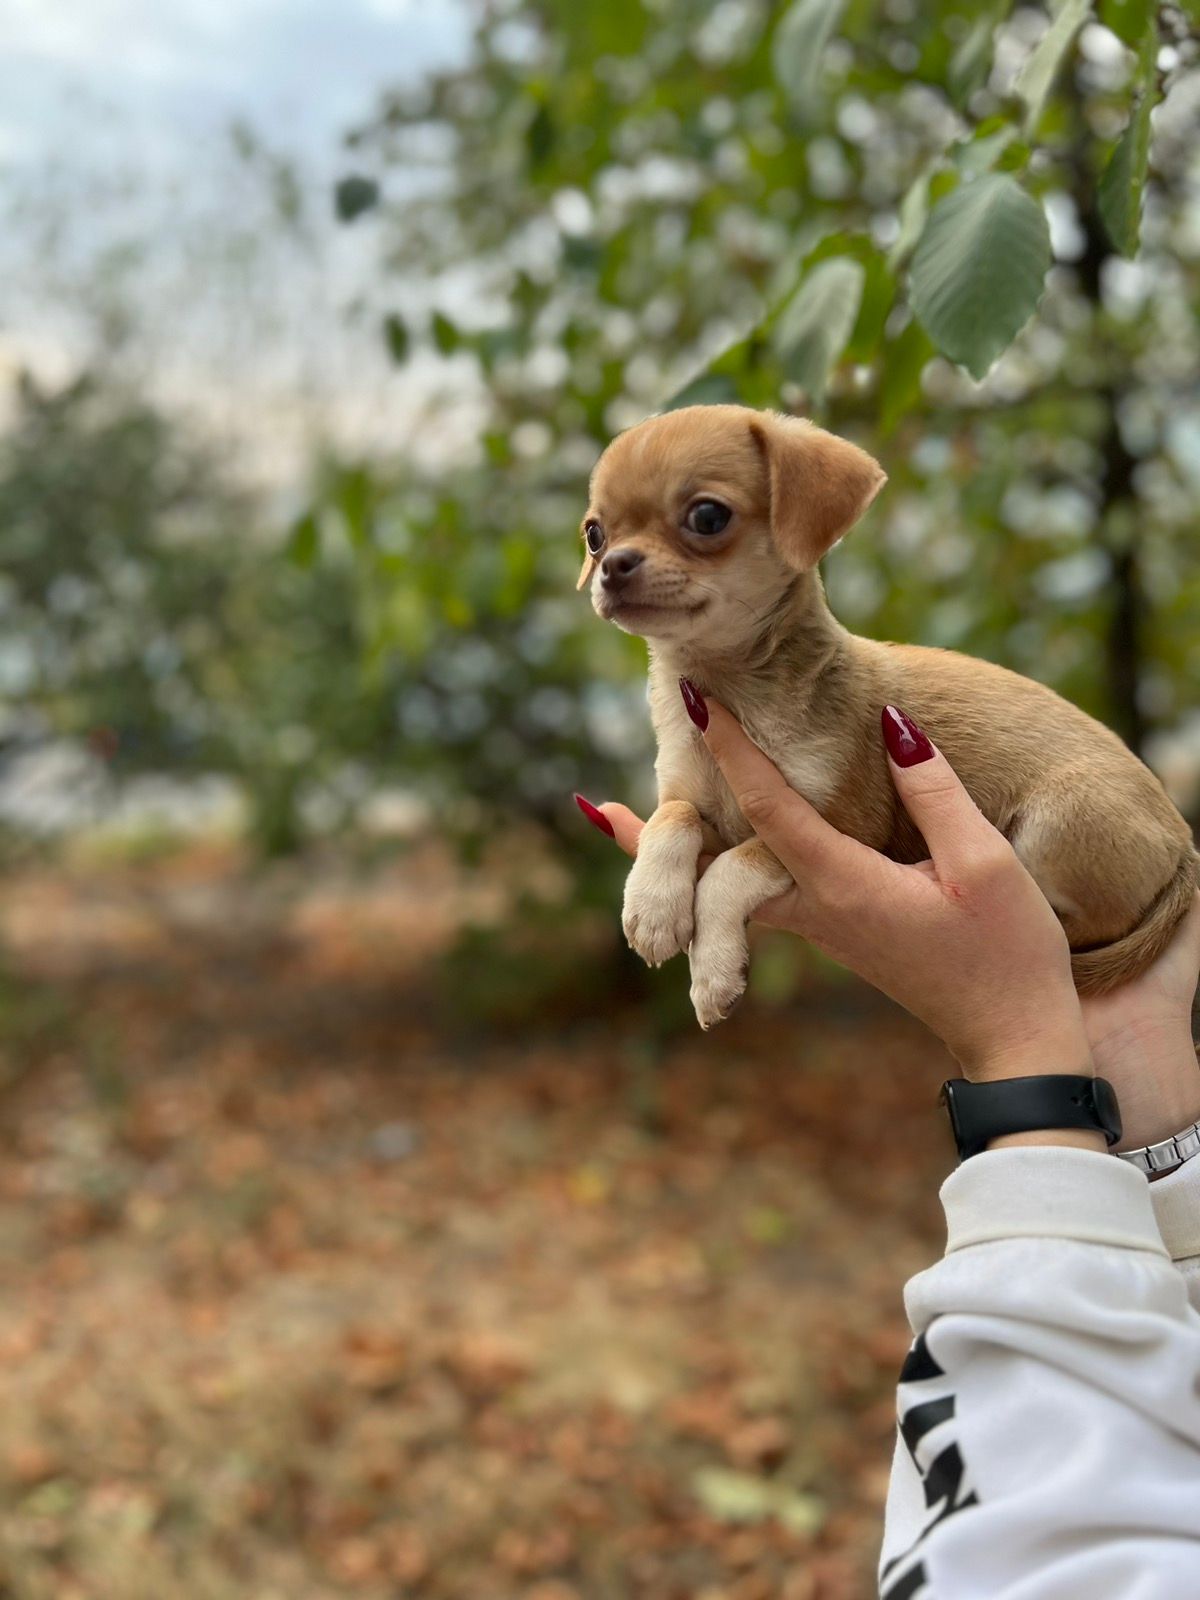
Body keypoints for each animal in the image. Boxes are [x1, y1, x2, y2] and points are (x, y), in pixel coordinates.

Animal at [579, 400, 1196, 1024]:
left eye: (707, 517)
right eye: (595, 534)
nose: (612, 565)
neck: (728, 684)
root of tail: (1183, 843)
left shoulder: (839, 825)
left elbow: (735, 867)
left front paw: (712, 973)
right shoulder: (693, 797)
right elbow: (671, 818)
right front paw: (652, 906)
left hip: (1057, 821)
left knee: (1096, 922)